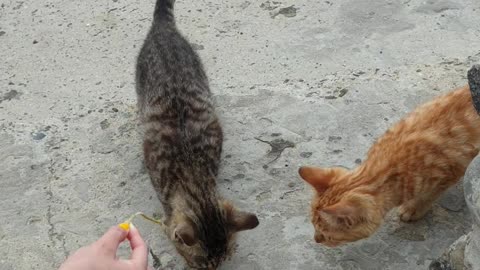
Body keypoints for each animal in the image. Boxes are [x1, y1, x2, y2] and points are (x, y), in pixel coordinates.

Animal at [298, 66, 480, 247]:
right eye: (313, 225)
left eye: (326, 235)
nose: (316, 240)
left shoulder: (452, 170)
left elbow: (428, 195)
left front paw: (413, 208)